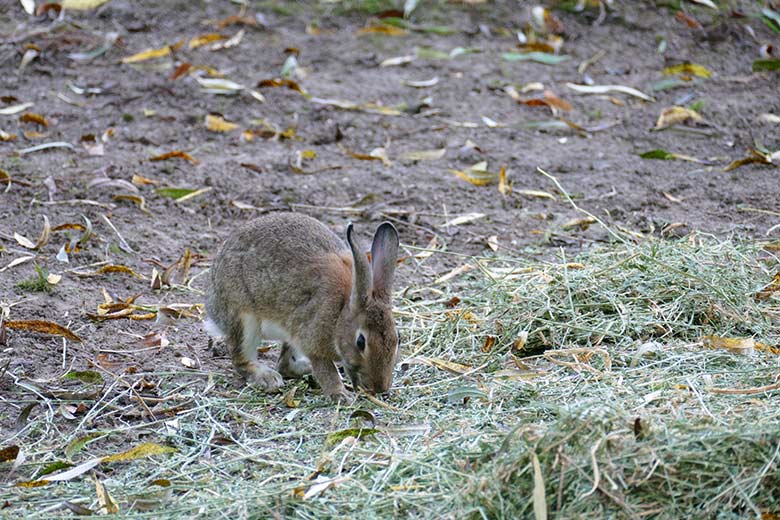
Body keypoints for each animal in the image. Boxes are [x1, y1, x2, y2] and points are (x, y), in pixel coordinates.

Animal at [204, 213, 400, 404]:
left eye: (397, 338)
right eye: (360, 342)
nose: (380, 387)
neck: (341, 313)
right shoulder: (312, 341)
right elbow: (326, 371)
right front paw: (340, 395)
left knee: (284, 364)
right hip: (244, 319)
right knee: (241, 358)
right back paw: (267, 378)